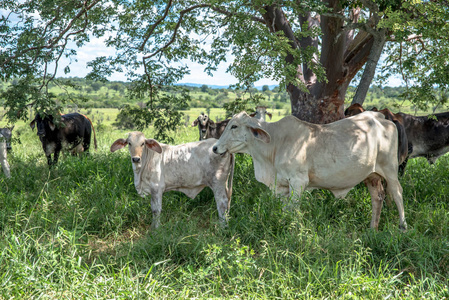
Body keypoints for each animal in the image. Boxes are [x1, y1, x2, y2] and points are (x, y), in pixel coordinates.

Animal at [213, 111, 406, 231]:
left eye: (234, 126)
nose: (215, 148)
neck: (275, 143)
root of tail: (381, 117)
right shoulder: (282, 186)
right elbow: (285, 210)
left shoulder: (298, 182)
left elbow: (293, 209)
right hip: (371, 175)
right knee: (377, 197)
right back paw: (372, 228)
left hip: (390, 169)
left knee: (397, 193)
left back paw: (402, 227)